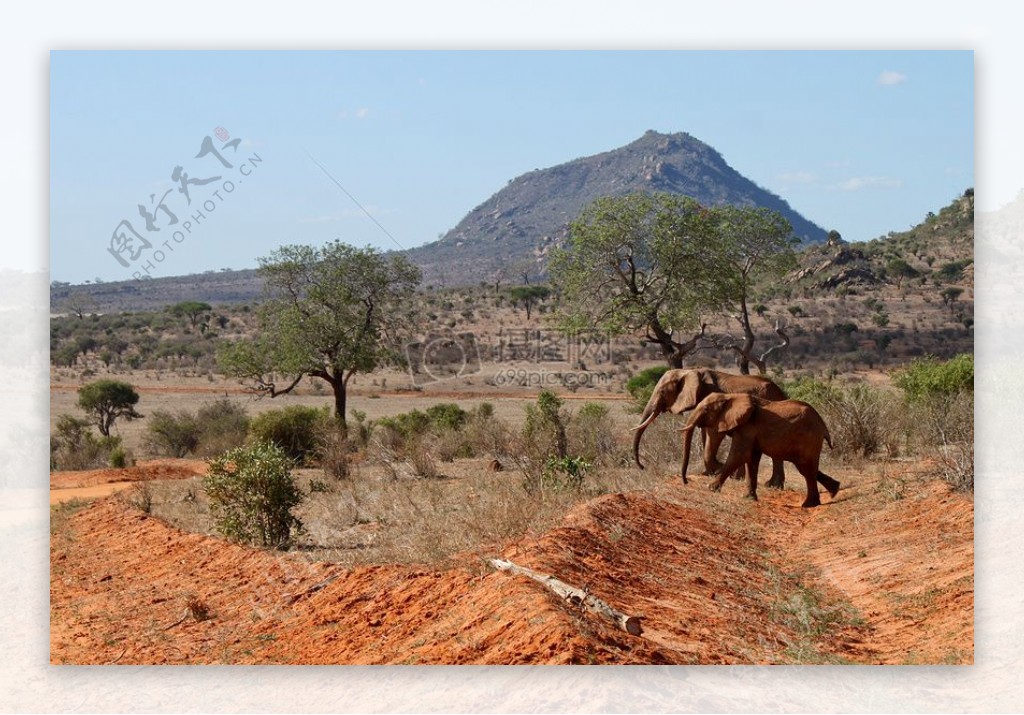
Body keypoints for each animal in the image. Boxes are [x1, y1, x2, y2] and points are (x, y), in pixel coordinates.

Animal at [626, 366, 786, 485]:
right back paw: (771, 484)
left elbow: (712, 433)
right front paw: (709, 473)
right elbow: (705, 433)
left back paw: (769, 484)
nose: (642, 467)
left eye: (662, 391)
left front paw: (718, 470)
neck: (688, 371)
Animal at [679, 395, 839, 506]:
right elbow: (751, 459)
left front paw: (710, 488)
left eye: (706, 409)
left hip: (809, 439)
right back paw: (834, 491)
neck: (730, 396)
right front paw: (748, 498)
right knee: (806, 467)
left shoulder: (747, 428)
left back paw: (809, 505)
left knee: (806, 469)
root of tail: (823, 425)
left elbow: (740, 455)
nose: (686, 482)